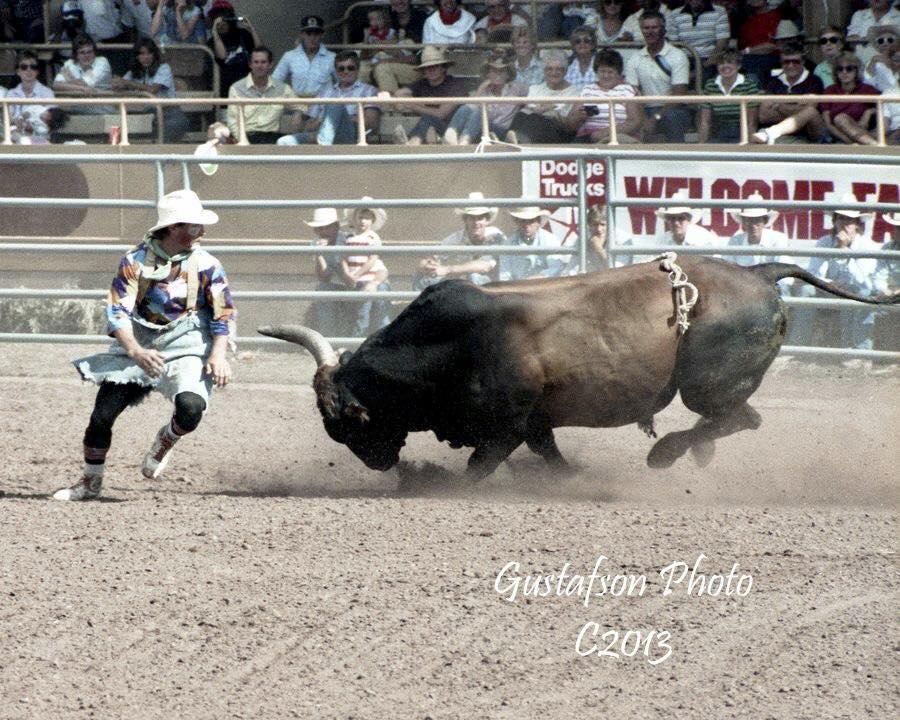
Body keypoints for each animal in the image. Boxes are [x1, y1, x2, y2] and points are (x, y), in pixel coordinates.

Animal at [259, 256, 897, 479]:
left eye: (353, 421)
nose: (378, 463)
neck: (450, 341)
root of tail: (759, 273)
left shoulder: (506, 427)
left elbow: (477, 467)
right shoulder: (537, 424)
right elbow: (551, 456)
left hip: (706, 386)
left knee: (736, 418)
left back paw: (667, 455)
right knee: (738, 419)